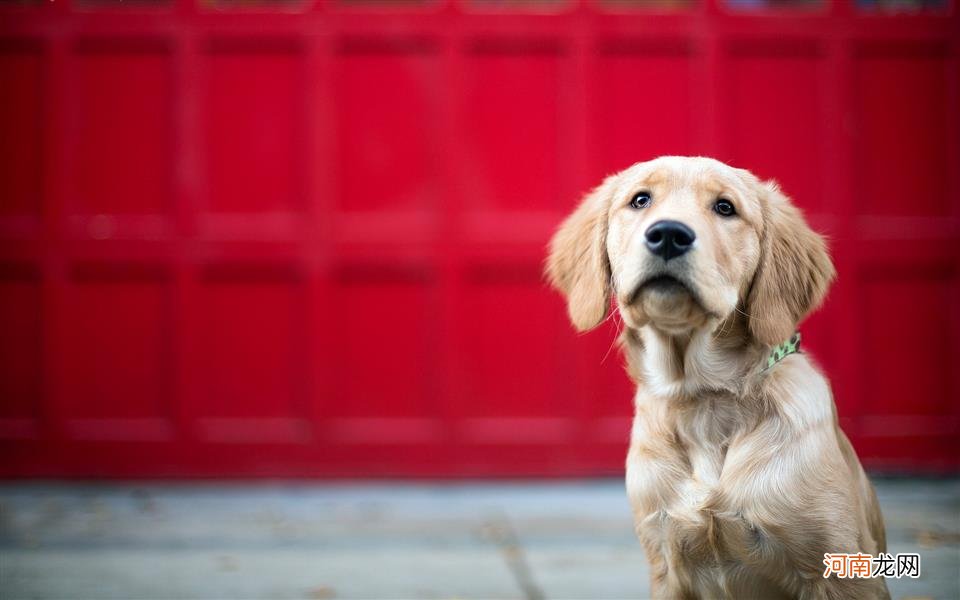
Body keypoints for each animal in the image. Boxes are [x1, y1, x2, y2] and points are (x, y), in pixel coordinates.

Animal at [544, 157, 888, 596]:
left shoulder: (840, 569)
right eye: (640, 200)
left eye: (725, 207)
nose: (668, 235)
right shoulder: (665, 563)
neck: (701, 398)